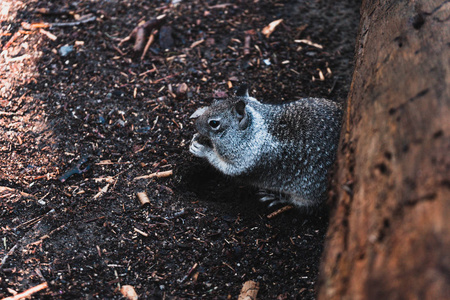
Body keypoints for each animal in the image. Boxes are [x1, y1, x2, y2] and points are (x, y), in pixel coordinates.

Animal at [189, 84, 342, 206]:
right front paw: (196, 138)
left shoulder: (243, 161)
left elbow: (223, 165)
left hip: (305, 194)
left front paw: (202, 149)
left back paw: (276, 198)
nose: (196, 125)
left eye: (214, 123)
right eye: (214, 101)